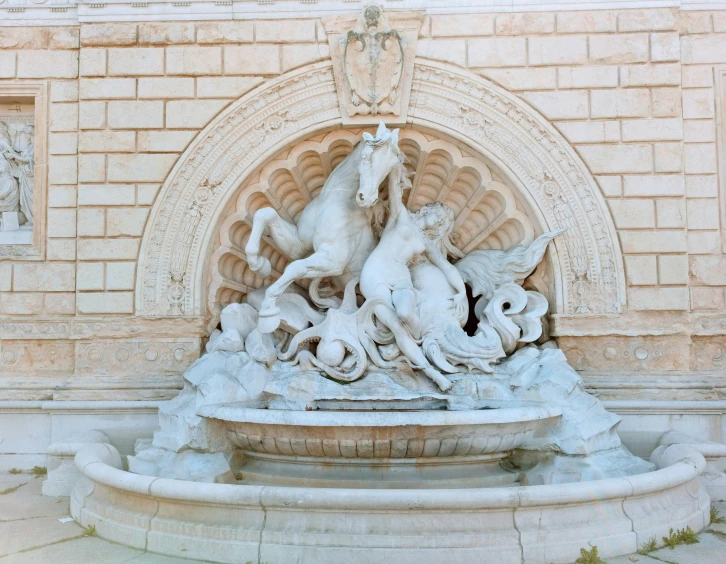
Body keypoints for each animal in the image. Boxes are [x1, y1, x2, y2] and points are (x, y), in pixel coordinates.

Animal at [245, 121, 404, 332]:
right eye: (365, 157)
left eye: (389, 167)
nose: (367, 198)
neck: (334, 199)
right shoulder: (299, 245)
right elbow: (264, 213)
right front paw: (259, 264)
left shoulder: (334, 260)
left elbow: (295, 267)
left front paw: (268, 310)